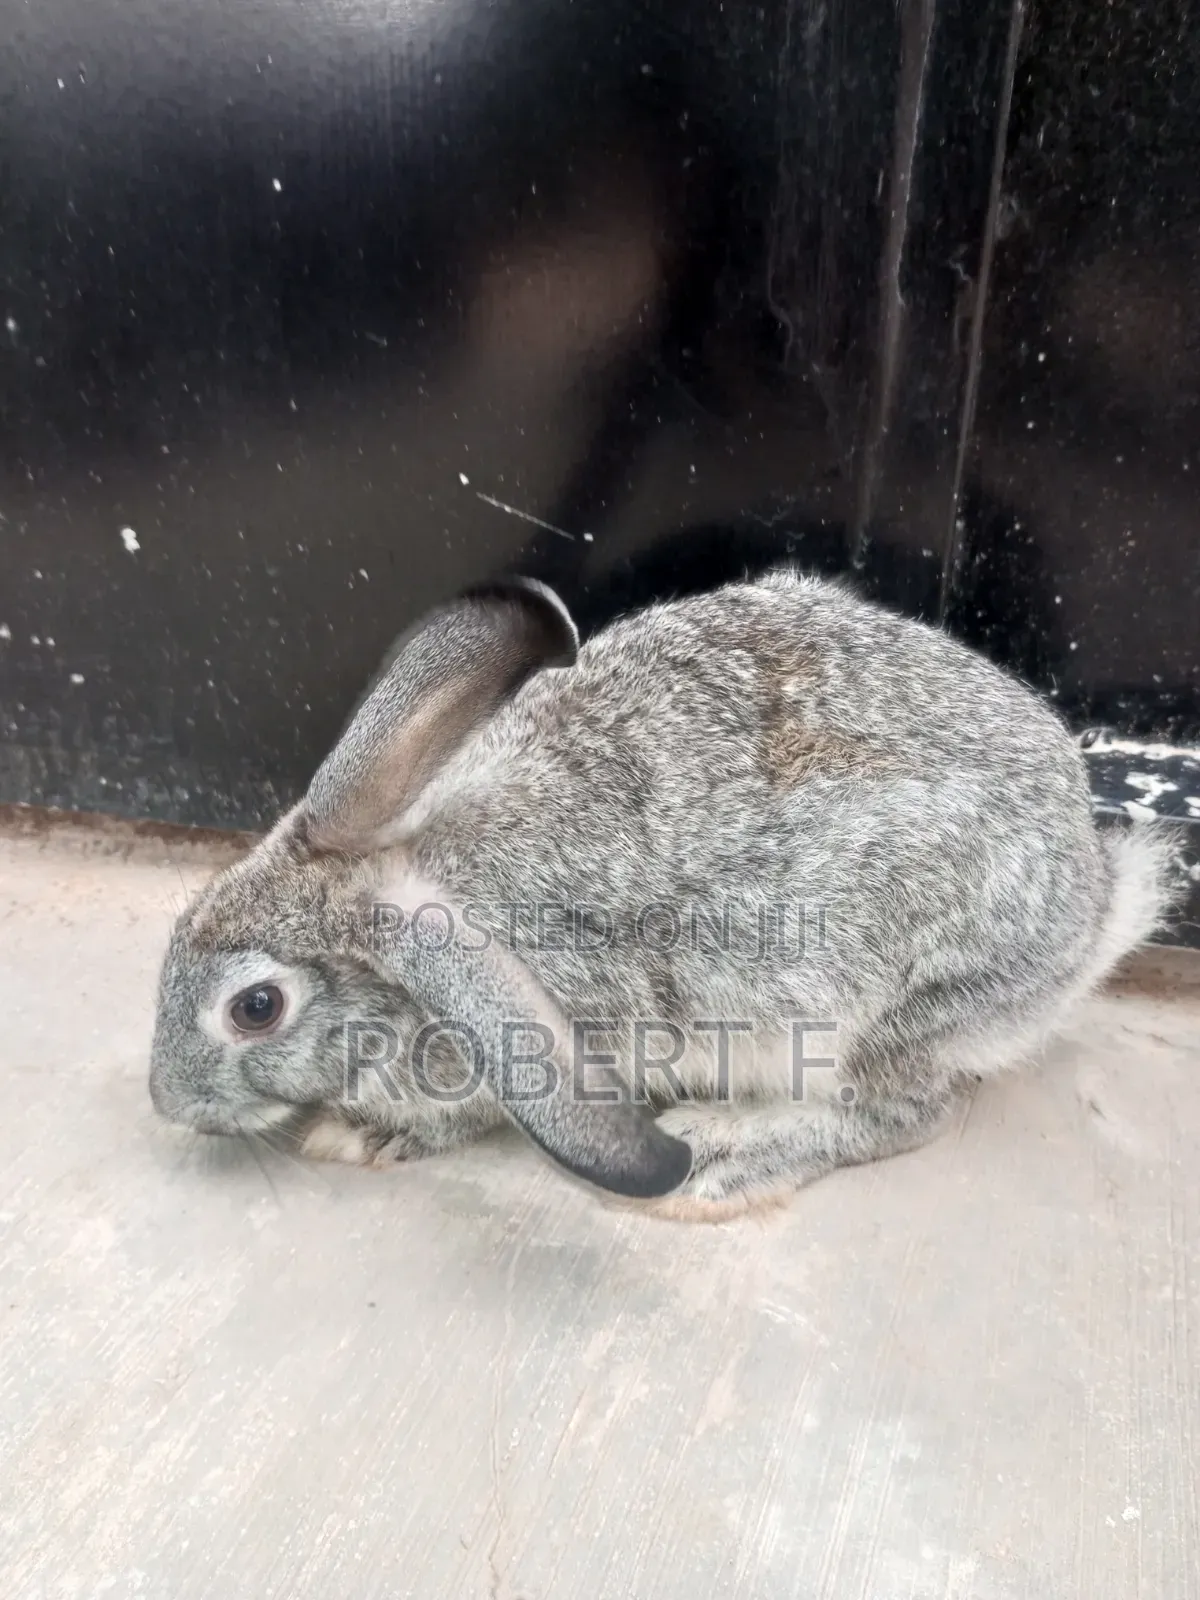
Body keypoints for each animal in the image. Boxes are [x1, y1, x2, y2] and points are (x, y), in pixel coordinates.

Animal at [149, 568, 1177, 1221]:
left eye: (256, 1007)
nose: (166, 1100)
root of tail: (1094, 915)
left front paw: (357, 1137)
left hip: (884, 1002)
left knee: (900, 1112)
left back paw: (725, 1154)